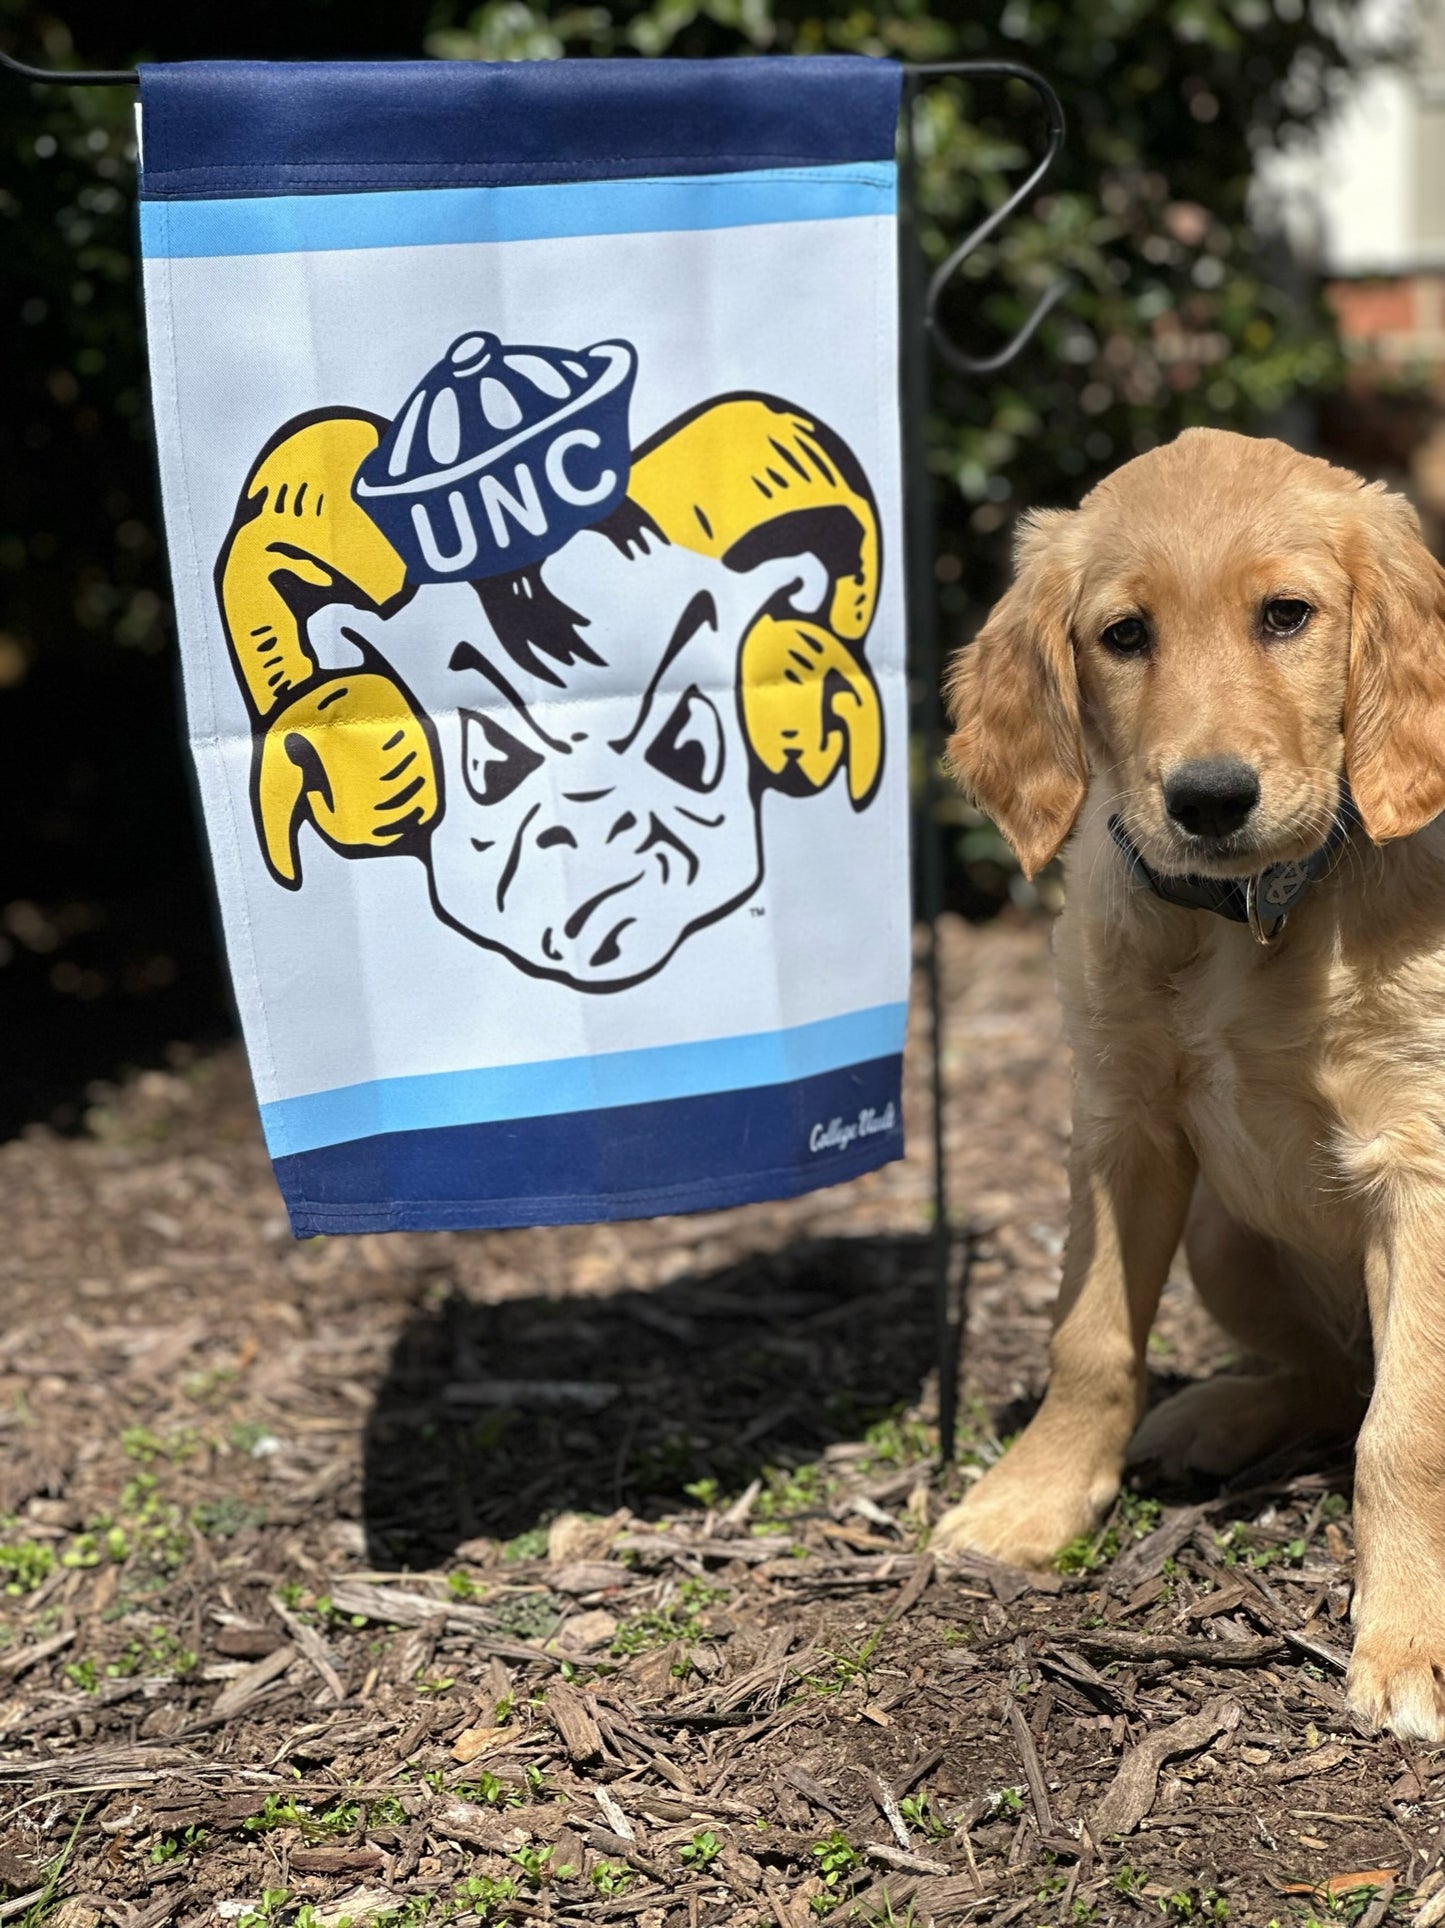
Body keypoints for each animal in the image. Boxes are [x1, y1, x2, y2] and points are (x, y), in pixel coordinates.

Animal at [937, 429, 1445, 1742]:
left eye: (1286, 616)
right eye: (1124, 634)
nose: (1208, 799)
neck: (1252, 915)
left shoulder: (1418, 1161)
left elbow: (1405, 1426)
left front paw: (1408, 1638)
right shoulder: (1120, 1124)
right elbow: (1088, 1340)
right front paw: (1030, 1502)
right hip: (1222, 1235)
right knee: (1327, 1374)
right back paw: (1214, 1417)